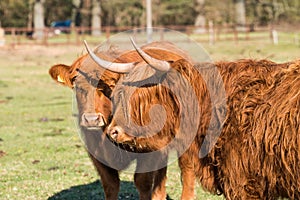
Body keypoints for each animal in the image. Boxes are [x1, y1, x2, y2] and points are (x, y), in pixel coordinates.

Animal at [48, 41, 195, 200]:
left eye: (108, 86)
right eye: (78, 86)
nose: (91, 119)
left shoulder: (150, 150)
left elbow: (142, 181)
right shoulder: (97, 153)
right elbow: (111, 184)